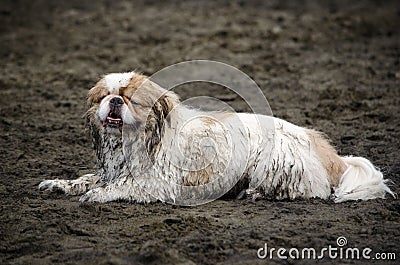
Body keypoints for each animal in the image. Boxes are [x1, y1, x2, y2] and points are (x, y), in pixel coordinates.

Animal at [39, 71, 396, 203]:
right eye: (105, 96)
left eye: (130, 100)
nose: (115, 101)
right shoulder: (111, 170)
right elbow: (86, 179)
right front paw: (61, 185)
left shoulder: (159, 183)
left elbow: (121, 187)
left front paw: (98, 195)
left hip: (274, 161)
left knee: (308, 191)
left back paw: (254, 193)